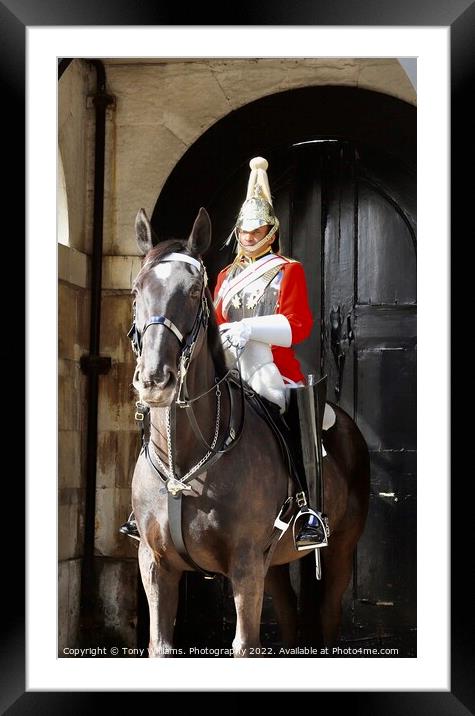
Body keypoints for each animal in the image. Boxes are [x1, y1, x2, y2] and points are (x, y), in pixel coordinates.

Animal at [130, 206, 372, 656]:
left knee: (328, 616)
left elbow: (245, 644)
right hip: (273, 563)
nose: (155, 381)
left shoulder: (245, 566)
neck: (185, 463)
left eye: (195, 291)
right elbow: (161, 644)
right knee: (291, 615)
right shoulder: (156, 564)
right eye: (137, 289)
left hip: (337, 551)